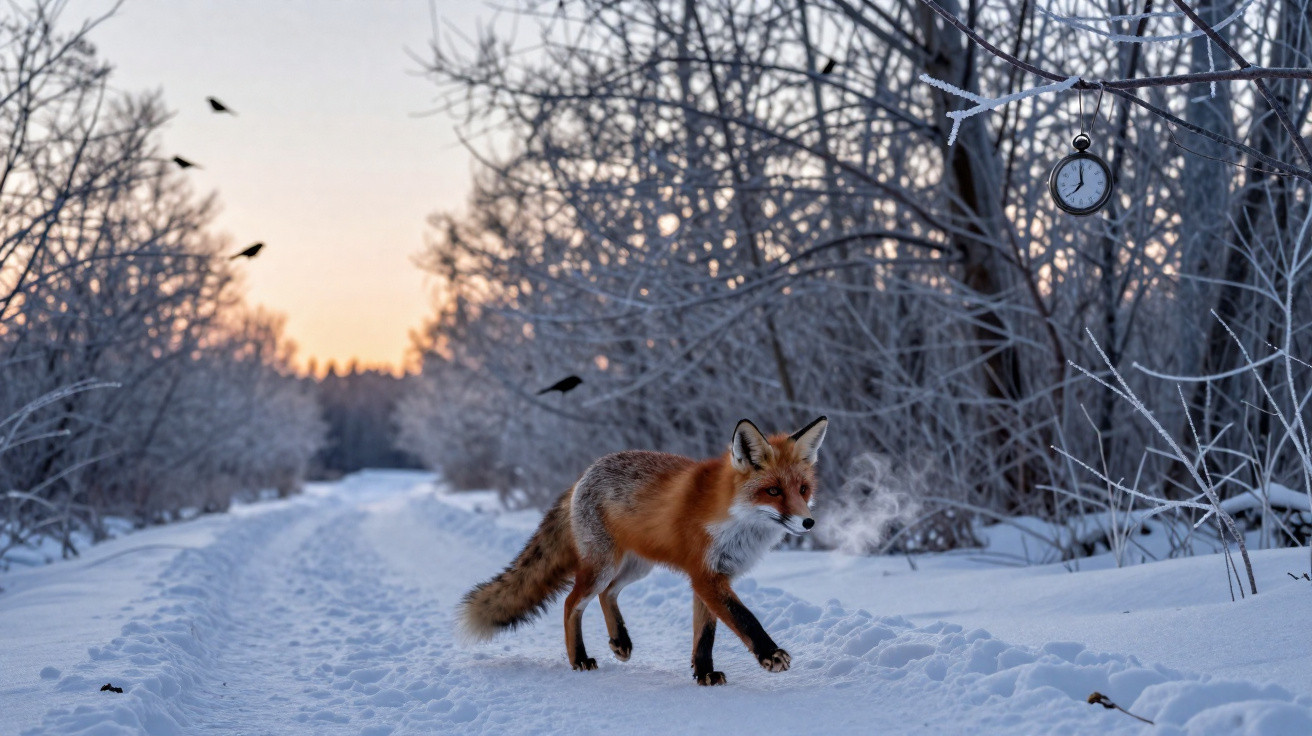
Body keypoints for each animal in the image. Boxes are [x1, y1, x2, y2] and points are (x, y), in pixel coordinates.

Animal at [457, 416, 828, 685]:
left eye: (803, 489)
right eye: (773, 491)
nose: (809, 522)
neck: (735, 519)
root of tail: (583, 475)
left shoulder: (710, 577)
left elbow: (705, 634)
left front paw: (703, 673)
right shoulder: (706, 576)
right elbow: (744, 618)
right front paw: (770, 654)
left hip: (636, 567)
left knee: (607, 594)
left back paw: (619, 640)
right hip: (603, 567)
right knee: (571, 603)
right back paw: (579, 659)